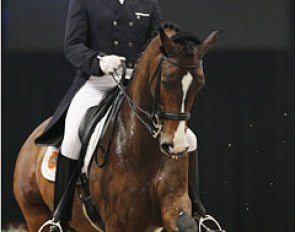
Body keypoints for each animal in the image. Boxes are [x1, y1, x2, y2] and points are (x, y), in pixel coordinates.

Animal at [14, 25, 222, 232]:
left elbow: (186, 223)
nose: (175, 146)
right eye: (165, 81)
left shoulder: (173, 205)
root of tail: (31, 142)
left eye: (200, 84)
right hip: (35, 214)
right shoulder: (118, 222)